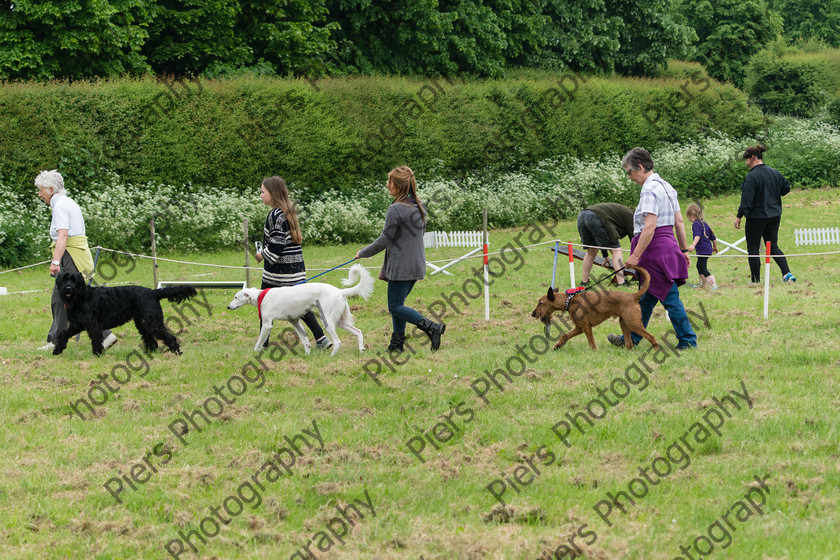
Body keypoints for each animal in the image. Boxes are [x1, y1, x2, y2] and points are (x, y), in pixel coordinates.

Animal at [53, 270, 199, 354]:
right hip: (142, 322)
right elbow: (64, 334)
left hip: (152, 321)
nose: (68, 289)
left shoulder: (93, 325)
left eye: (74, 280)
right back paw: (150, 352)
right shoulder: (77, 324)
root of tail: (152, 292)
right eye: (64, 279)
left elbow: (96, 339)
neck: (81, 296)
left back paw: (176, 351)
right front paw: (58, 349)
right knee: (150, 338)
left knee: (168, 336)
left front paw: (98, 353)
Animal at [228, 262, 376, 354]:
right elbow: (305, 341)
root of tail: (339, 291)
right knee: (358, 332)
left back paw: (332, 357)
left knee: (338, 342)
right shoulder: (295, 321)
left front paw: (255, 351)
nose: (228, 307)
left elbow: (259, 340)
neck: (261, 296)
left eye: (235, 297)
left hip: (327, 321)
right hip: (341, 321)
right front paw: (307, 354)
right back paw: (361, 350)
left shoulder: (267, 324)